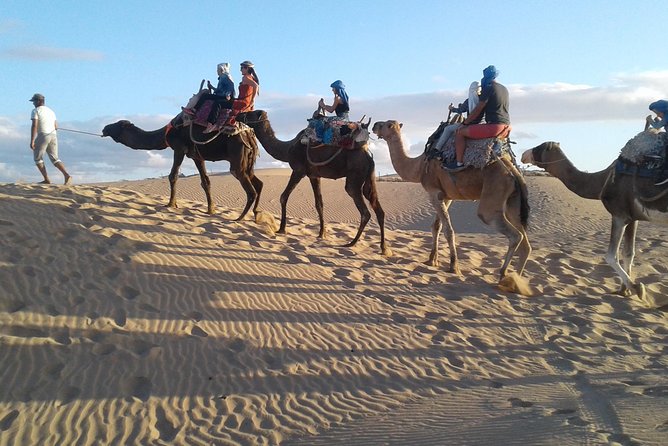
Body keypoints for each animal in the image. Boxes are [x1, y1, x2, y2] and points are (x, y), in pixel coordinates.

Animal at [103, 115, 262, 220]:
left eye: (117, 125)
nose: (105, 128)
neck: (166, 134)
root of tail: (250, 136)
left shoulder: (179, 148)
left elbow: (173, 176)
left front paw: (171, 204)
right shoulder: (197, 156)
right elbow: (205, 181)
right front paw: (211, 210)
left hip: (237, 158)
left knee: (250, 189)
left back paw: (240, 218)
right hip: (248, 162)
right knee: (259, 183)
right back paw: (257, 214)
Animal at [237, 109, 388, 254]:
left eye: (250, 113)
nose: (238, 114)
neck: (288, 148)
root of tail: (368, 156)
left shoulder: (298, 170)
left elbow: (283, 197)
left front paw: (281, 229)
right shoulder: (314, 176)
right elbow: (319, 203)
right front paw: (321, 233)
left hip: (355, 176)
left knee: (363, 210)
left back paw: (352, 243)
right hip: (369, 177)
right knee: (377, 207)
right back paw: (384, 248)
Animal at [370, 118, 532, 278]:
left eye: (387, 125)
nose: (375, 125)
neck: (419, 166)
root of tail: (512, 170)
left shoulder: (433, 192)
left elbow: (448, 230)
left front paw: (454, 266)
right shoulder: (446, 195)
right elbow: (436, 226)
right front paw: (432, 260)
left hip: (494, 194)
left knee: (513, 234)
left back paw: (503, 274)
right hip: (513, 201)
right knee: (525, 243)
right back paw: (516, 280)